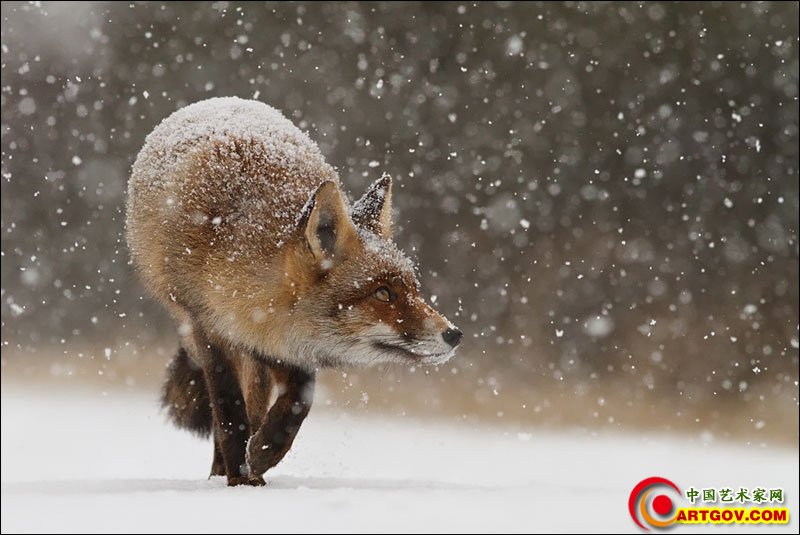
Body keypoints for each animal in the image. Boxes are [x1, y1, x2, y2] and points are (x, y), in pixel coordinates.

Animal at [125, 96, 462, 486]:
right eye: (382, 293)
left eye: (412, 288)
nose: (454, 334)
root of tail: (218, 100)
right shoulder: (208, 329)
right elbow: (228, 414)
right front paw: (239, 478)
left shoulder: (283, 345)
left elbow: (299, 400)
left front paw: (263, 454)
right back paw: (222, 472)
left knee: (259, 404)